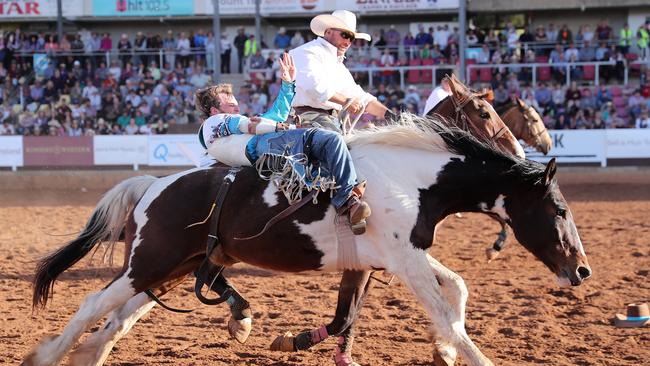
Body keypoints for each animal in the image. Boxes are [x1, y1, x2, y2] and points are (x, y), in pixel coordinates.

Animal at [24, 115, 588, 366]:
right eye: (559, 210)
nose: (581, 269)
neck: (410, 178)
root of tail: (153, 185)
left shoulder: (389, 259)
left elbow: (455, 291)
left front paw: (444, 350)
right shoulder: (405, 260)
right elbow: (447, 312)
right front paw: (465, 352)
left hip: (170, 269)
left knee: (118, 318)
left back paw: (89, 354)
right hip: (148, 264)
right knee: (94, 304)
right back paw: (47, 356)